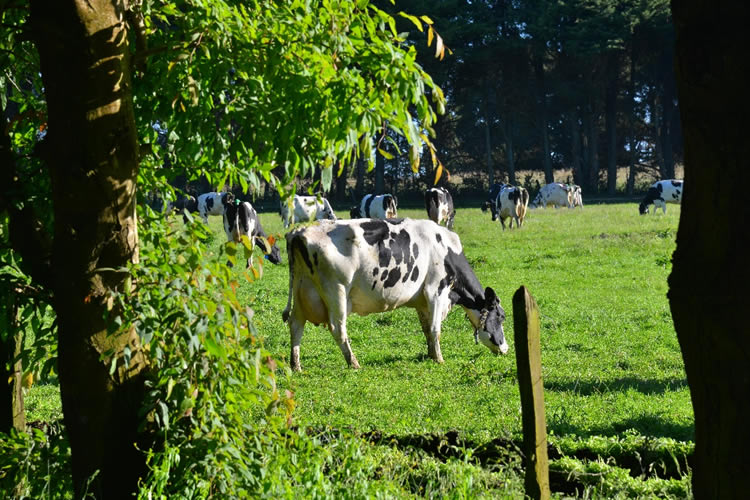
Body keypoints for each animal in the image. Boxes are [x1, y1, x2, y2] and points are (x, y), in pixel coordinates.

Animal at [282, 219, 512, 372]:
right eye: (501, 317)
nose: (505, 348)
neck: (446, 250)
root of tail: (300, 231)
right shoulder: (436, 291)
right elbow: (435, 329)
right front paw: (439, 359)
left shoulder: (422, 301)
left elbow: (426, 329)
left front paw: (430, 354)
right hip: (336, 291)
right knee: (338, 328)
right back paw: (354, 363)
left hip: (302, 291)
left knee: (295, 324)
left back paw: (296, 365)